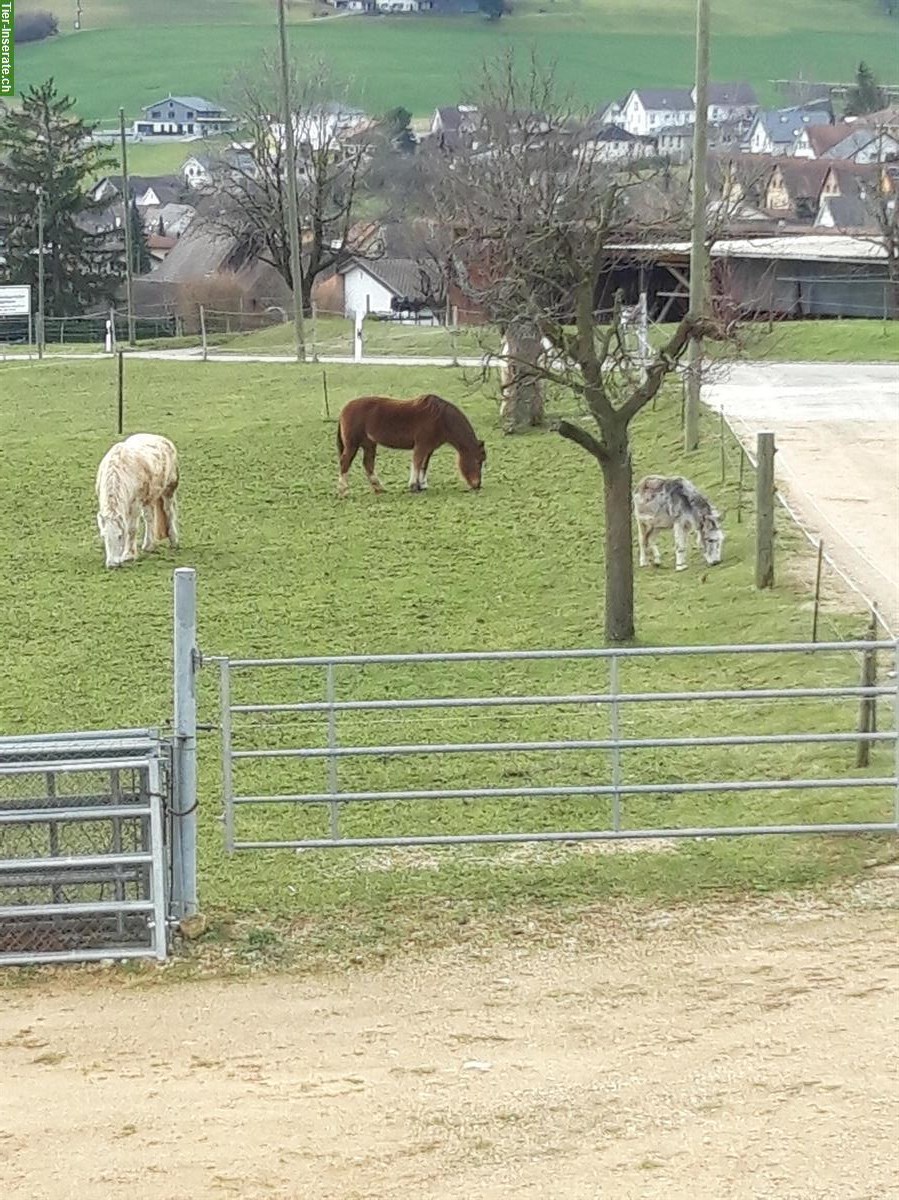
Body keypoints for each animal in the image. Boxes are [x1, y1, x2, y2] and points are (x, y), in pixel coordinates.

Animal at [95, 434, 180, 568]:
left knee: (169, 513)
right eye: (104, 536)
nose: (112, 564)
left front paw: (129, 555)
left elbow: (131, 529)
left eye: (120, 536)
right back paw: (149, 545)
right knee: (149, 519)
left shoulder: (135, 504)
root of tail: (163, 440)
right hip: (149, 499)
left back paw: (174, 541)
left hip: (168, 491)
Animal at [336, 393, 484, 496]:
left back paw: (379, 488)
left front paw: (422, 485)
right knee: (345, 462)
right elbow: (417, 463)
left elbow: (424, 465)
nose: (477, 485)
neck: (441, 419)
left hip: (369, 444)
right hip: (352, 444)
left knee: (368, 464)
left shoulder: (429, 448)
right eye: (478, 461)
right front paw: (413, 486)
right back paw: (344, 491)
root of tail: (344, 409)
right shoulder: (421, 446)